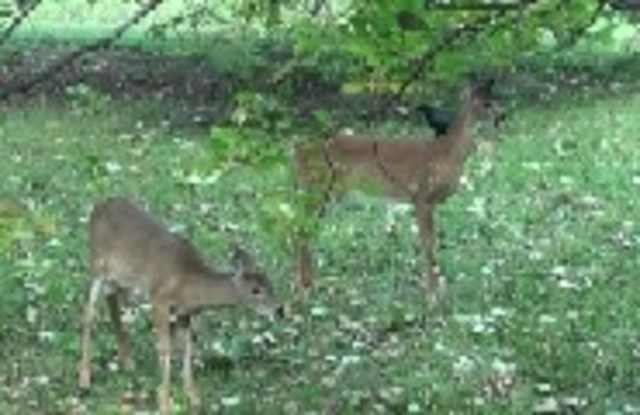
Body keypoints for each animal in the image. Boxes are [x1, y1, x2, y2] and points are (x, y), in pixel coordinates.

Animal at [78, 197, 283, 415]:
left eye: (271, 284)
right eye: (256, 290)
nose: (279, 309)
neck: (189, 283)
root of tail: (98, 206)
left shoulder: (184, 313)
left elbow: (187, 345)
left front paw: (192, 397)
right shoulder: (159, 299)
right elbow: (165, 348)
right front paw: (165, 402)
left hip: (121, 278)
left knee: (111, 299)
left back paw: (128, 361)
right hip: (97, 265)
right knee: (89, 313)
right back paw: (84, 380)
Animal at [292, 81, 497, 302]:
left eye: (492, 100)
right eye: (485, 104)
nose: (501, 116)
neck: (447, 153)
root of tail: (298, 152)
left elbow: (431, 242)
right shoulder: (421, 196)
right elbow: (428, 243)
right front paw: (432, 295)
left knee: (305, 229)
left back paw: (309, 284)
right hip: (318, 189)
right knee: (302, 230)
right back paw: (305, 288)